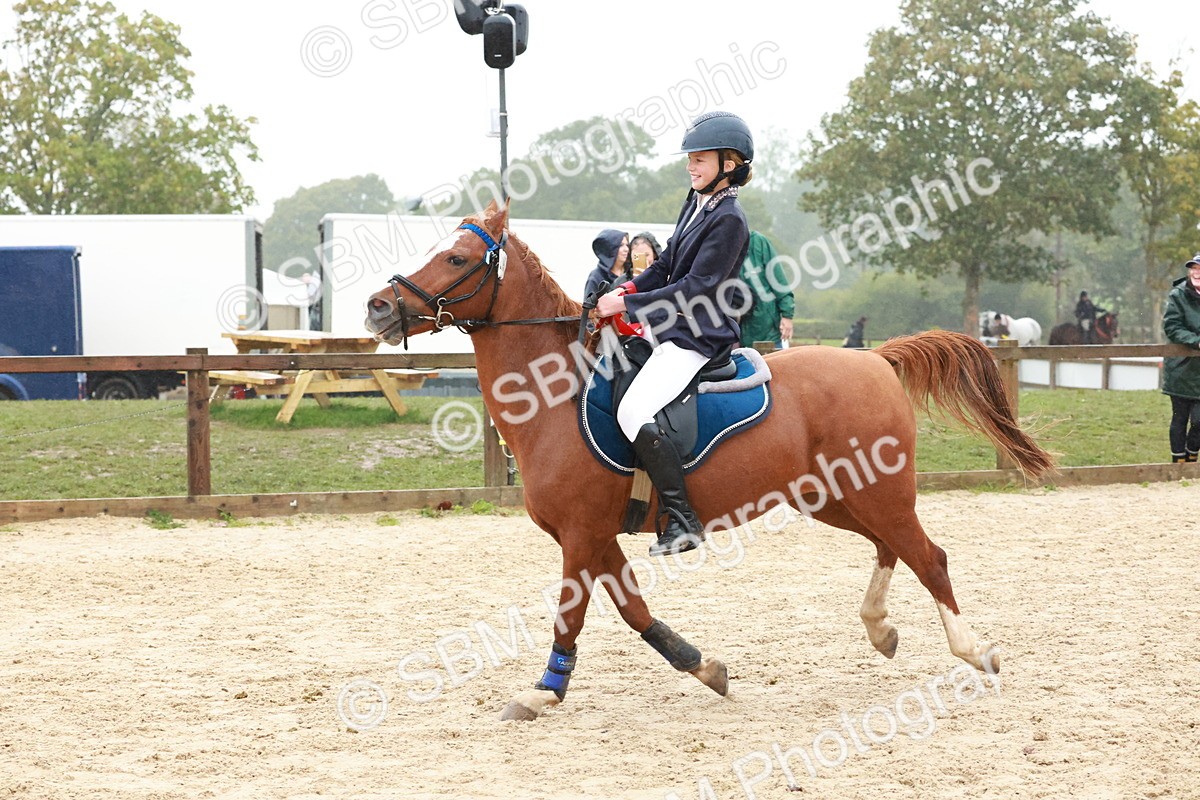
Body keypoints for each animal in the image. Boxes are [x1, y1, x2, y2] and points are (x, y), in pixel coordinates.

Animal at [365, 202, 1054, 721]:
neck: (553, 393)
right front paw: (706, 669)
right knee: (892, 548)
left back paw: (973, 651)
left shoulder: (581, 534)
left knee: (928, 556)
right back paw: (880, 628)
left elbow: (570, 615)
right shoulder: (594, 536)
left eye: (456, 258)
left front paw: (542, 691)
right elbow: (635, 611)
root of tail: (876, 359)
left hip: (875, 492)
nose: (378, 306)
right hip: (837, 496)